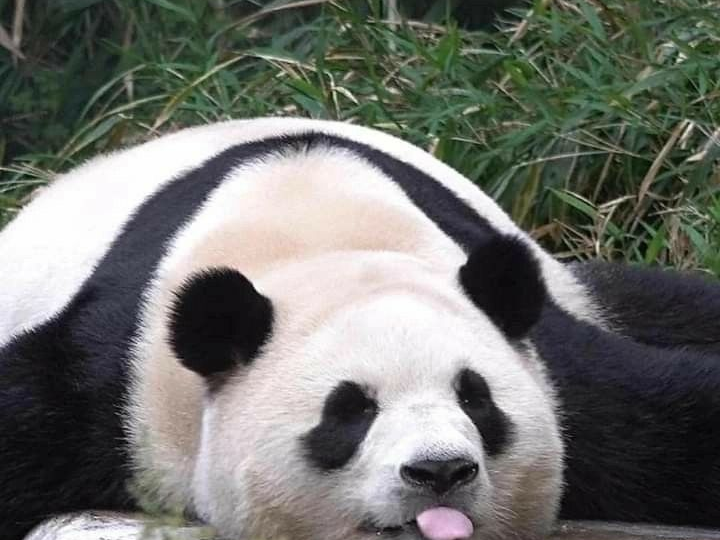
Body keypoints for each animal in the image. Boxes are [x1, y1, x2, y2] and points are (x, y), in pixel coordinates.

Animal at [1, 118, 719, 540]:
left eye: (476, 399)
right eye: (349, 411)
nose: (440, 471)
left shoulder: (559, 371)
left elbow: (666, 417)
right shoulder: (117, 379)